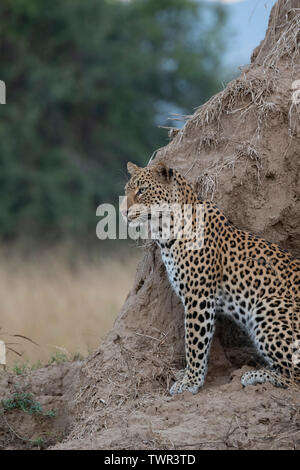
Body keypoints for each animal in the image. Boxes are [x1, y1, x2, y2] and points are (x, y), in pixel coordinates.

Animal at [120, 160, 300, 394]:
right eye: (127, 190)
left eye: (141, 191)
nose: (123, 212)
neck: (166, 230)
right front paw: (186, 375)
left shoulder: (199, 297)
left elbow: (195, 343)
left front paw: (190, 382)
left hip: (269, 307)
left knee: (295, 376)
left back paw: (256, 375)